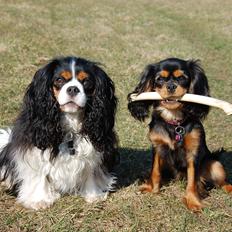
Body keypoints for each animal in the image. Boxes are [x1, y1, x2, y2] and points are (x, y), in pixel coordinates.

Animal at [0, 56, 118, 210]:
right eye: (59, 80)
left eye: (86, 81)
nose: (73, 89)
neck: (70, 126)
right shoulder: (34, 147)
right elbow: (39, 173)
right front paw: (39, 200)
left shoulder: (97, 149)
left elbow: (91, 170)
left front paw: (93, 194)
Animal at [128, 58, 231, 212]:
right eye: (159, 79)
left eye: (182, 78)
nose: (171, 86)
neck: (174, 121)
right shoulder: (157, 147)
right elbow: (155, 171)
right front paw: (153, 190)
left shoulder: (193, 152)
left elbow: (192, 180)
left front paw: (193, 202)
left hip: (215, 165)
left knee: (222, 182)